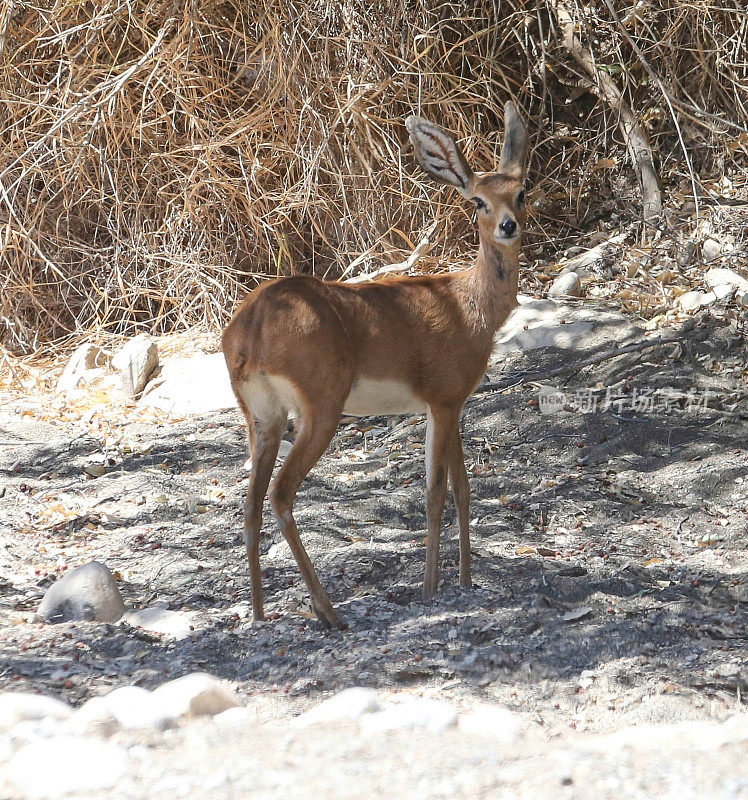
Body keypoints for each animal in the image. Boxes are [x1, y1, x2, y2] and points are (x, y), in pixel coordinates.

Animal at [222, 100, 524, 628]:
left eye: (522, 193)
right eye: (478, 202)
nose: (509, 226)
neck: (468, 306)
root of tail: (250, 328)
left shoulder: (452, 404)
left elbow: (464, 488)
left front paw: (466, 581)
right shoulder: (443, 401)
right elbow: (435, 493)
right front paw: (430, 590)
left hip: (262, 416)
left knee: (251, 505)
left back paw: (260, 613)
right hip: (320, 409)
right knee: (281, 494)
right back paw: (329, 612)